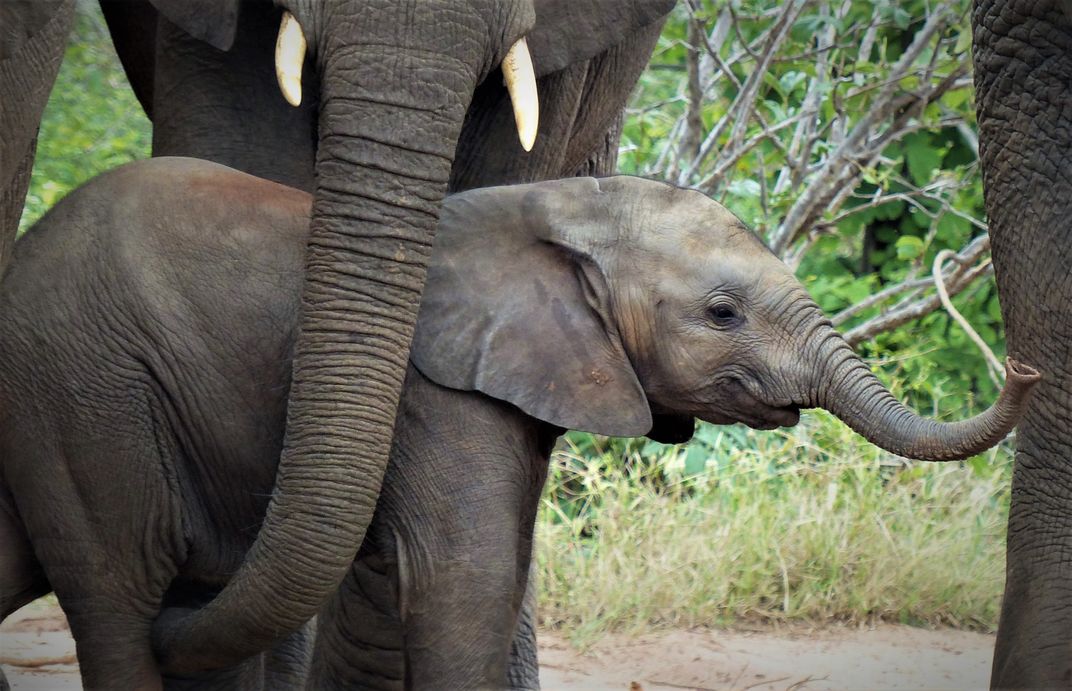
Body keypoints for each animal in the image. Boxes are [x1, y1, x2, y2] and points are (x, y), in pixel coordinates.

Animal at [0, 157, 1038, 688]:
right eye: (722, 313)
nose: (1024, 362)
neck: (559, 205)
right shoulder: (436, 391)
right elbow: (470, 576)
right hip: (82, 386)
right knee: (119, 590)